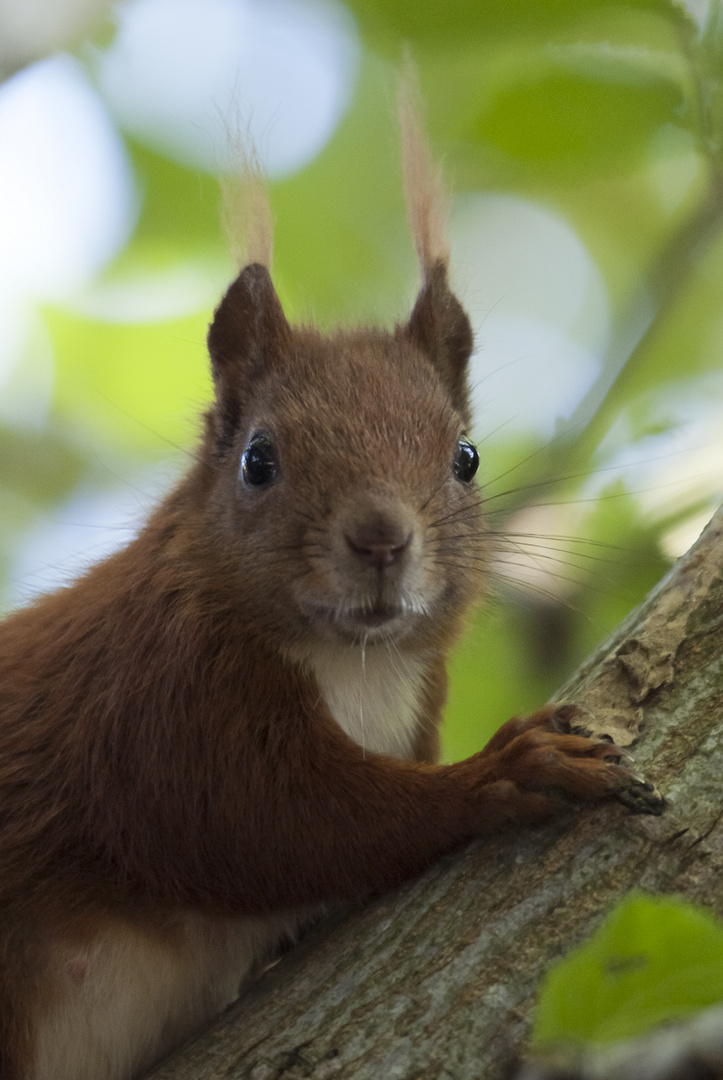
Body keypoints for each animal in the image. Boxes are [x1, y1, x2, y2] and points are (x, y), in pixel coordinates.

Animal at [0, 84, 661, 1080]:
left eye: (466, 457)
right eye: (257, 460)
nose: (381, 538)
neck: (357, 665)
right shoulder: (159, 703)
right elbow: (282, 822)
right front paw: (509, 769)